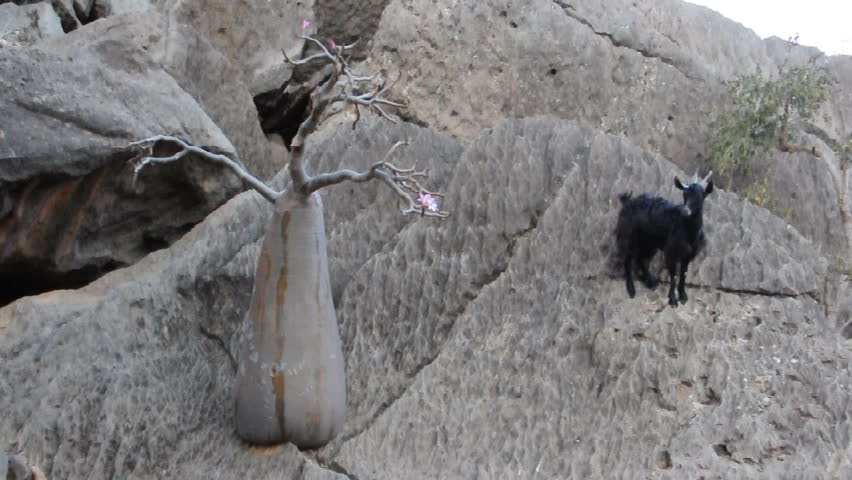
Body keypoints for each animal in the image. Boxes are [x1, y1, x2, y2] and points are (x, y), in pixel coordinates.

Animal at [615, 172, 714, 307]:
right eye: (684, 195)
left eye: (700, 196)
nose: (684, 211)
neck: (689, 231)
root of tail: (627, 201)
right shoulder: (672, 251)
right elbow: (674, 274)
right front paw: (672, 299)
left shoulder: (688, 254)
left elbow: (683, 273)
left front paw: (683, 296)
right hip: (630, 236)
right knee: (628, 259)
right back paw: (631, 289)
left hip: (650, 242)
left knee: (642, 259)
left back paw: (651, 282)